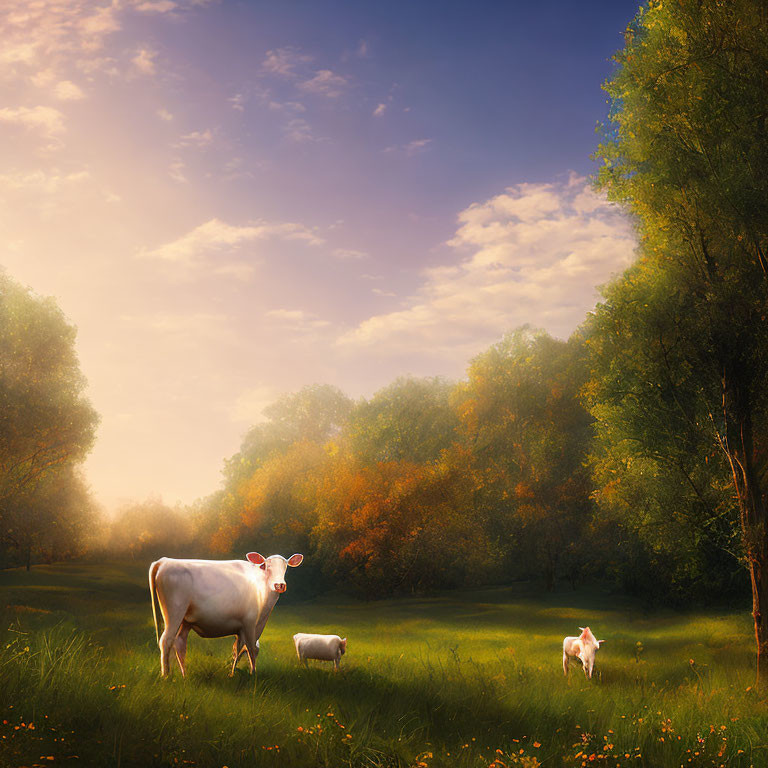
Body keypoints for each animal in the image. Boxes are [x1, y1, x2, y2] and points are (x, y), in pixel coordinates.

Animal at [147, 552, 304, 680]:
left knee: (180, 643)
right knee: (166, 640)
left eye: (286, 567)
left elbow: (238, 649)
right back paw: (166, 675)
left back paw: (184, 675)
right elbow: (251, 648)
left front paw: (232, 673)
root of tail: (165, 561)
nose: (279, 585)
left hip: (185, 621)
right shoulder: (249, 622)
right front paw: (253, 674)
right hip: (174, 612)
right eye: (266, 566)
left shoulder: (241, 628)